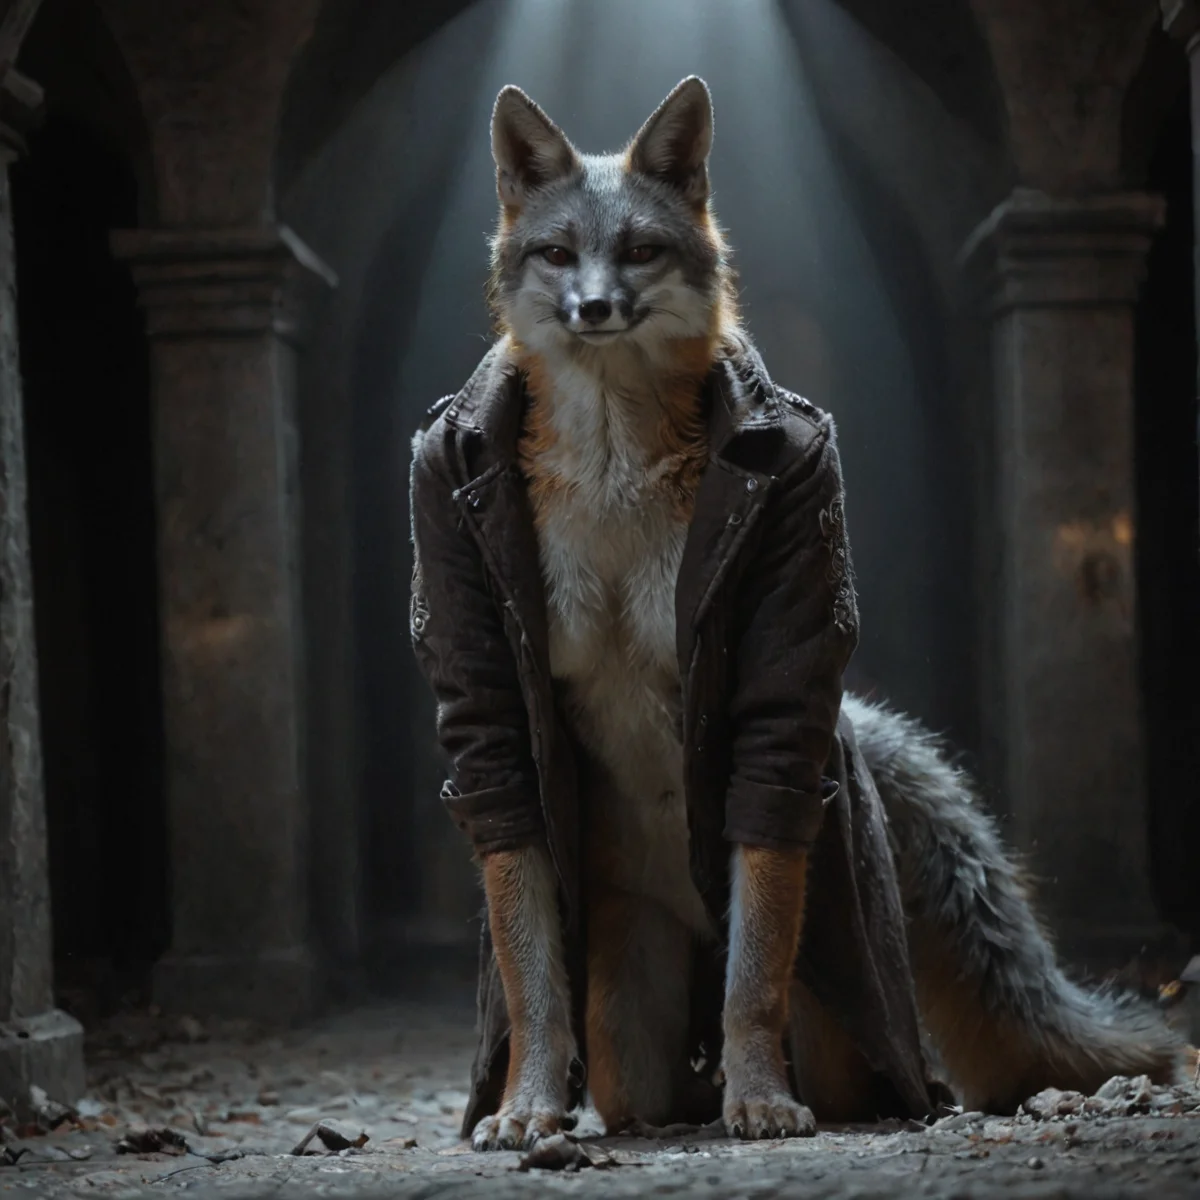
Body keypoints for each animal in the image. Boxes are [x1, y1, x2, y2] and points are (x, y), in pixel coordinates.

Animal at [410, 76, 1184, 1151]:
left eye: (639, 250)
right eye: (559, 253)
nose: (595, 306)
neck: (612, 477)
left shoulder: (771, 713)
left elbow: (752, 983)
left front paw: (759, 1094)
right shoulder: (493, 711)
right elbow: (532, 976)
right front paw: (527, 1101)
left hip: (826, 1004)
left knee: (816, 1040)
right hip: (633, 1037)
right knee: (647, 1088)